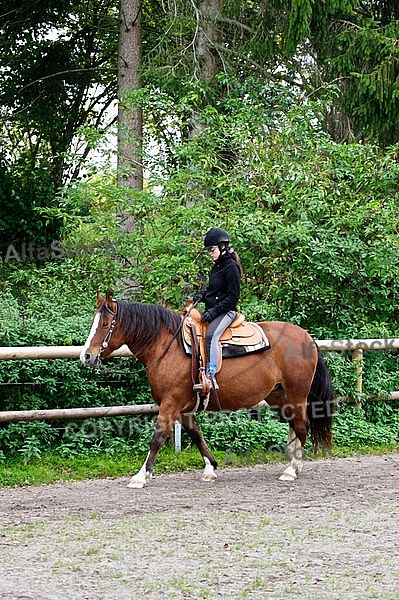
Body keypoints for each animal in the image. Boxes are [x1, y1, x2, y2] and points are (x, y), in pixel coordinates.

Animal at [79, 294, 332, 488]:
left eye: (104, 324)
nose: (86, 356)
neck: (167, 346)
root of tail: (307, 337)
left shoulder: (171, 403)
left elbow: (158, 437)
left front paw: (140, 476)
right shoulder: (183, 407)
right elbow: (196, 435)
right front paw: (210, 469)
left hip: (297, 394)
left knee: (302, 425)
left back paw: (291, 469)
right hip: (278, 395)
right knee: (294, 424)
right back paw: (294, 462)